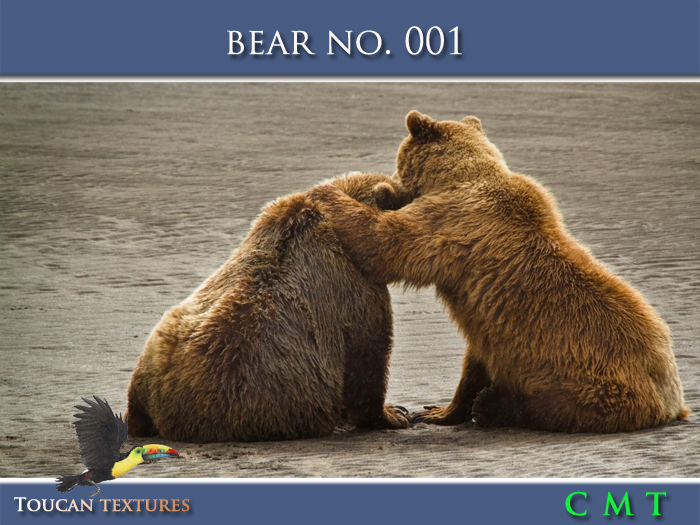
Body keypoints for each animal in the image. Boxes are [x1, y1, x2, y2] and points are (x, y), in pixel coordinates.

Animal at [309, 111, 688, 433]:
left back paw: (495, 406)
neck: (460, 177)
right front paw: (438, 411)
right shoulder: (486, 324)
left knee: (556, 405)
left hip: (594, 384)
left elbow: (384, 244)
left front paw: (326, 190)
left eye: (398, 161)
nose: (390, 185)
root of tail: (673, 402)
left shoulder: (451, 222)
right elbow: (474, 361)